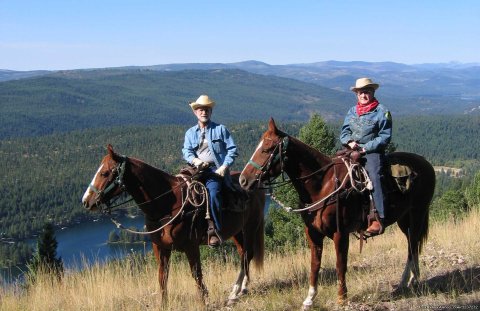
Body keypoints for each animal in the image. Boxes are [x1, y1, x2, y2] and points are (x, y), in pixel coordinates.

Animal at [80, 145, 264, 306]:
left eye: (104, 173)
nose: (86, 201)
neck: (167, 204)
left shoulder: (191, 246)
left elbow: (196, 274)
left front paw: (204, 301)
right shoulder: (160, 247)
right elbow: (162, 276)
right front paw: (164, 304)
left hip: (250, 226)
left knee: (248, 255)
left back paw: (237, 291)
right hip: (236, 231)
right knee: (243, 254)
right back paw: (239, 290)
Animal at [239, 119, 436, 310]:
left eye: (267, 149)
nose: (243, 180)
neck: (322, 186)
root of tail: (426, 163)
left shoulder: (340, 234)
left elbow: (340, 264)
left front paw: (342, 297)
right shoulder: (313, 234)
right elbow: (315, 265)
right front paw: (310, 299)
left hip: (417, 214)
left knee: (413, 246)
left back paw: (411, 280)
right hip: (404, 220)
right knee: (412, 245)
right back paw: (407, 281)